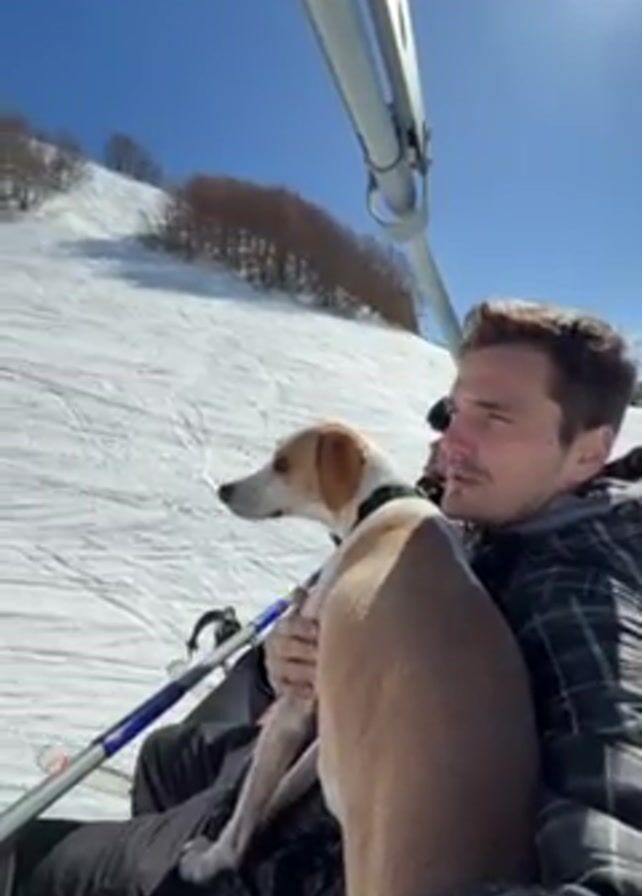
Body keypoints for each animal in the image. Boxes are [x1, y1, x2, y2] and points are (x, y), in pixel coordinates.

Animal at [179, 420, 538, 896]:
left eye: (282, 463)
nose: (224, 489)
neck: (383, 507)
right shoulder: (334, 725)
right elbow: (284, 785)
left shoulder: (298, 702)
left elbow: (247, 807)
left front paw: (211, 859)